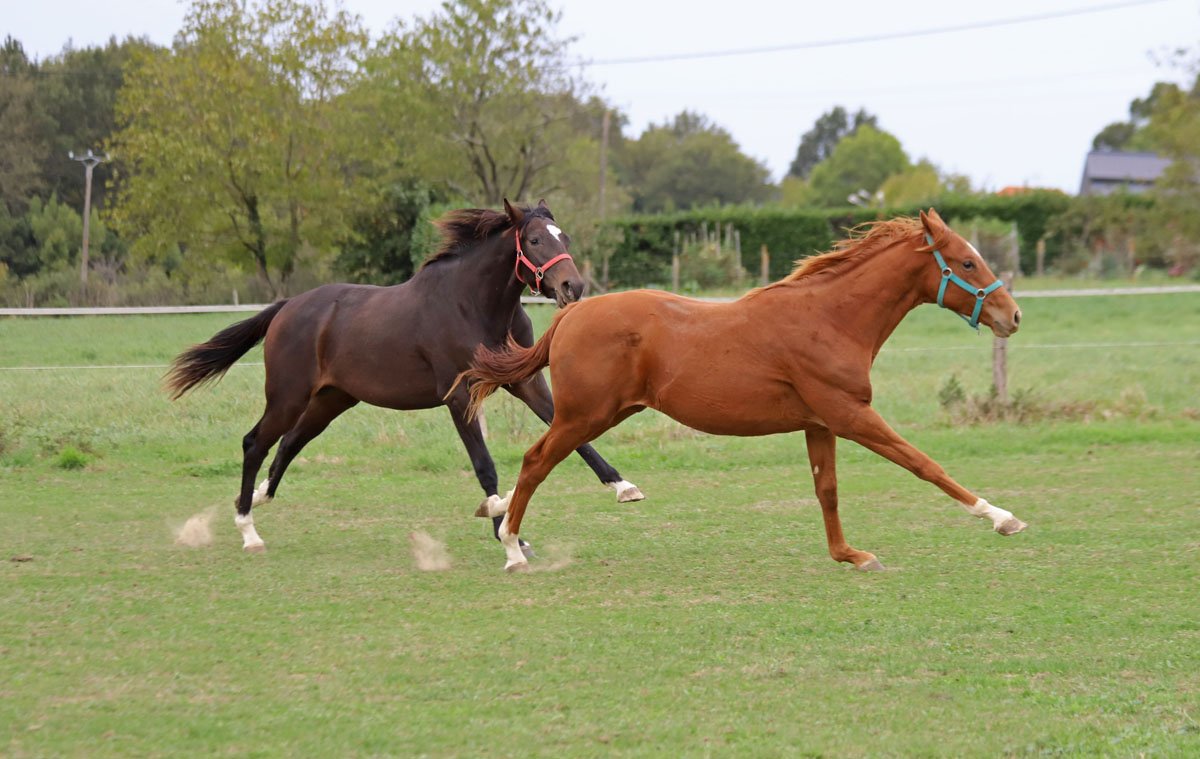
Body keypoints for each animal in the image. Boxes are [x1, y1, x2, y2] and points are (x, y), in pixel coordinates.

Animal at [166, 199, 643, 554]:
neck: (474, 305)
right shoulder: (459, 394)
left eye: (565, 237)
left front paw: (624, 487)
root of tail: (287, 307)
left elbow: (575, 437)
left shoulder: (525, 382)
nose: (572, 288)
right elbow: (484, 464)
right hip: (288, 394)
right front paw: (504, 529)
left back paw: (260, 497)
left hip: (331, 399)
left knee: (289, 443)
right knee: (256, 442)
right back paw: (248, 527)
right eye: (534, 238)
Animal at [456, 209, 1027, 572]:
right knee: (535, 462)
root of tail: (569, 315)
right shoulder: (851, 415)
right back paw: (511, 547)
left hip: (596, 414)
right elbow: (924, 464)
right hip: (582, 416)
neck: (830, 318)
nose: (1013, 316)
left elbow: (827, 490)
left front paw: (850, 556)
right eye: (967, 262)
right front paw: (1002, 518)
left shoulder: (820, 424)